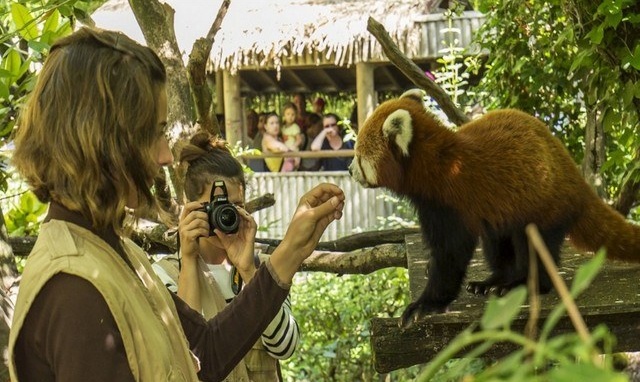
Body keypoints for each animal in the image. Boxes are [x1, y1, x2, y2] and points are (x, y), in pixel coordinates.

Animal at [350, 89, 640, 326]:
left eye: (358, 155)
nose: (350, 170)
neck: (438, 165)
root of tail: (576, 177)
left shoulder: (452, 203)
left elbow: (451, 255)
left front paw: (425, 305)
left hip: (545, 206)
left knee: (534, 247)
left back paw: (523, 284)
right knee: (498, 245)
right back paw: (492, 281)